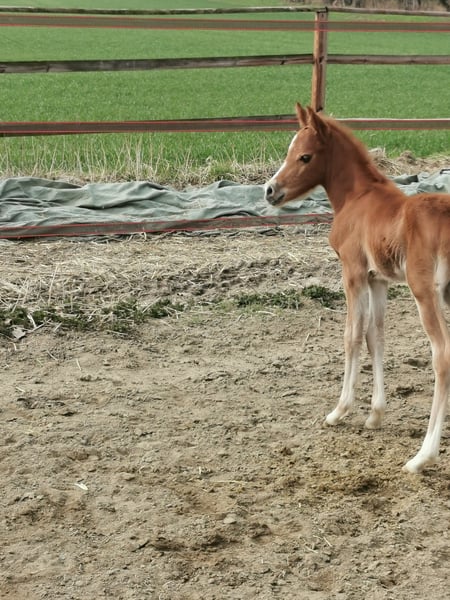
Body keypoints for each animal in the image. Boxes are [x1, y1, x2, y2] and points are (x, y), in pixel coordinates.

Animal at [265, 103, 450, 473]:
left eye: (305, 156)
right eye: (290, 151)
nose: (270, 191)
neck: (358, 196)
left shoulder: (352, 272)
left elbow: (351, 336)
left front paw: (340, 411)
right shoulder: (377, 279)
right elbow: (375, 336)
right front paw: (375, 415)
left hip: (426, 294)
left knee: (442, 357)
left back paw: (422, 456)